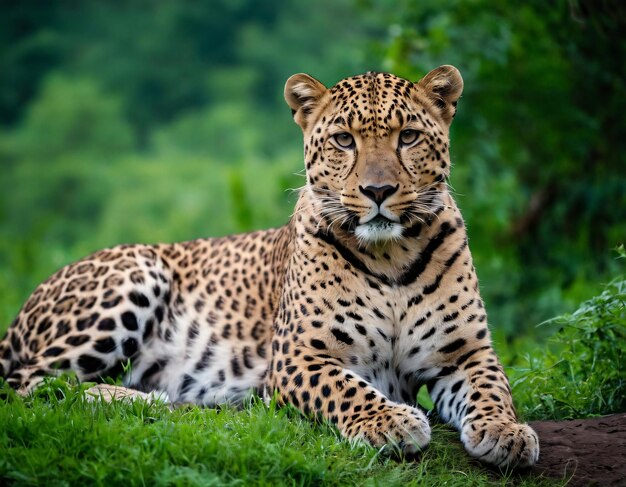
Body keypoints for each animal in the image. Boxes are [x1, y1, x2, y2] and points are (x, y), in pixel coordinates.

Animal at [0, 65, 536, 468]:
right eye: (344, 140)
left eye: (408, 137)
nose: (378, 191)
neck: (392, 256)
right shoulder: (299, 356)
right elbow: (348, 390)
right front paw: (390, 421)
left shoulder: (464, 352)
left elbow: (494, 388)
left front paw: (506, 432)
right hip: (136, 273)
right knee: (28, 382)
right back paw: (141, 399)